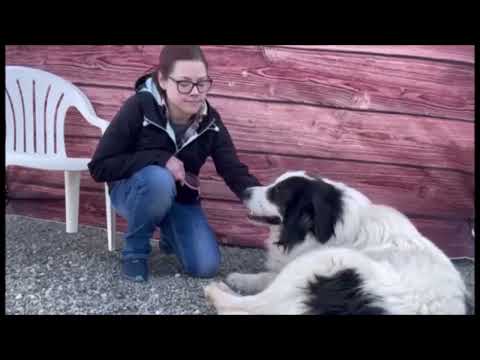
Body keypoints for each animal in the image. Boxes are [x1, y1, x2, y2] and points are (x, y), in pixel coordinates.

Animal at [203, 172, 468, 316]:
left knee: (251, 305)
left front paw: (235, 281)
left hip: (328, 261)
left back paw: (217, 291)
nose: (245, 191)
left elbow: (268, 281)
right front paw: (241, 279)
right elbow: (267, 275)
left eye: (276, 192)